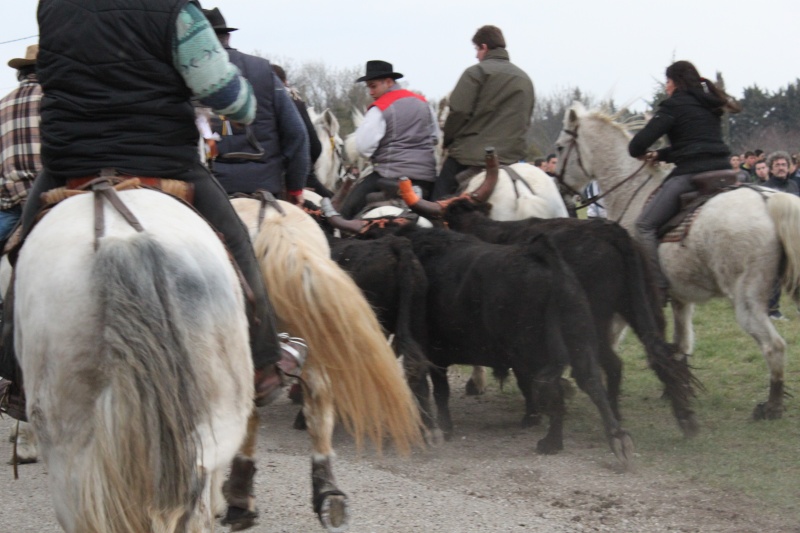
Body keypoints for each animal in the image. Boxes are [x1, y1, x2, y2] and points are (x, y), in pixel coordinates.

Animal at [556, 102, 800, 420]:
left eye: (560, 147)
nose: (559, 190)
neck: (631, 193)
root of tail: (767, 200)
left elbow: (609, 338)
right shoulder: (681, 298)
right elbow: (682, 344)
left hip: (746, 301)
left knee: (774, 347)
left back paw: (771, 407)